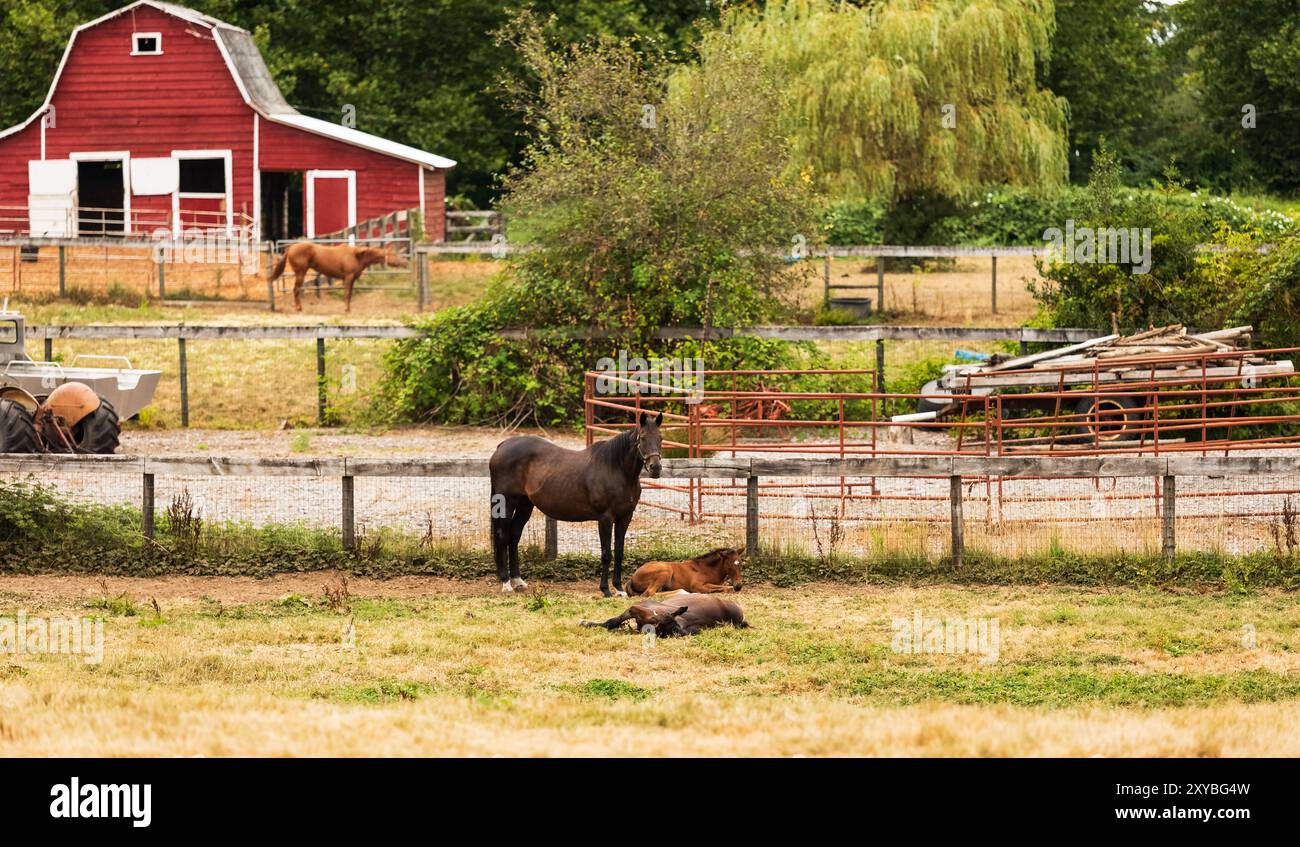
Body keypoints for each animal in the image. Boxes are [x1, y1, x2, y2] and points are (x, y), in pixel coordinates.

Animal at [266, 240, 403, 313]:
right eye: (394, 254)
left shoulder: (352, 279)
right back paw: (299, 308)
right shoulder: (348, 277)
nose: (405, 262)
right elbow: (347, 293)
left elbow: (349, 294)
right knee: (296, 290)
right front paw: (346, 309)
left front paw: (348, 308)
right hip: (300, 273)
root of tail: (291, 247)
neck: (357, 255)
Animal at [488, 410, 665, 594]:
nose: (656, 468)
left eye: (661, 438)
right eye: (643, 438)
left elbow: (619, 552)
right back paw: (506, 584)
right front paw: (605, 590)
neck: (616, 469)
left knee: (514, 535)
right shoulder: (605, 518)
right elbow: (606, 554)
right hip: (507, 503)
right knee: (502, 536)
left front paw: (619, 588)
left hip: (525, 504)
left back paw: (518, 581)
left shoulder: (625, 517)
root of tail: (502, 446)